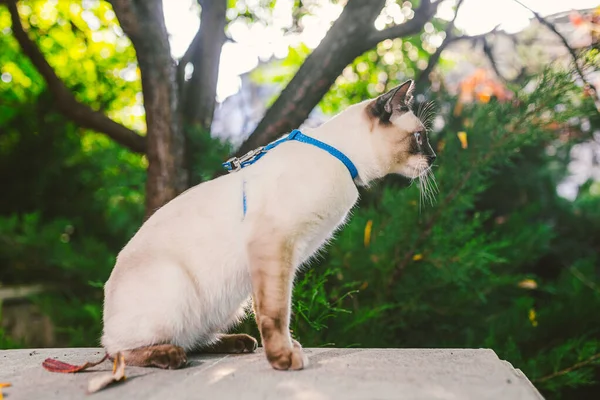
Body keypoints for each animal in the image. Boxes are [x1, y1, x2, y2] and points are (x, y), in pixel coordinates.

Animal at [99, 79, 436, 370]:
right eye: (421, 138)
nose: (434, 157)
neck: (342, 159)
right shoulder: (275, 247)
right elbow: (276, 312)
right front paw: (284, 359)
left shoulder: (284, 259)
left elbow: (275, 310)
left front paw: (288, 349)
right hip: (178, 290)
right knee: (118, 351)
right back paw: (169, 355)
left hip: (227, 303)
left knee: (193, 339)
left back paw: (236, 343)